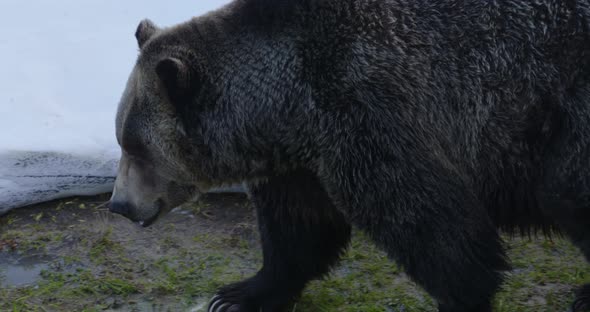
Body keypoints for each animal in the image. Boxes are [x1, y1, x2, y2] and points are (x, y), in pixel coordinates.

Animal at [108, 1, 590, 310]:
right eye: (122, 138)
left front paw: (463, 295)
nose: (119, 205)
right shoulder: (302, 161)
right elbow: (298, 231)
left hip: (560, 113)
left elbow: (429, 221)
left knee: (565, 192)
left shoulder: (367, 111)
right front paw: (239, 294)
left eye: (137, 145)